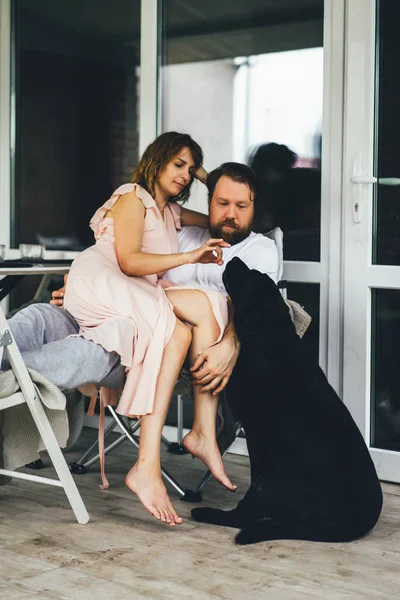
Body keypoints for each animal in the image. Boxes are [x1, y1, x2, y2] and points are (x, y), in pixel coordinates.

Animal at [192, 258, 382, 544]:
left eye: (249, 275)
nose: (234, 259)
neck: (269, 329)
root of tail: (357, 523)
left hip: (269, 479)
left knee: (244, 515)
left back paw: (207, 513)